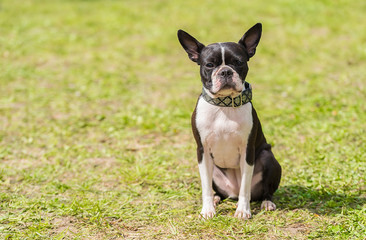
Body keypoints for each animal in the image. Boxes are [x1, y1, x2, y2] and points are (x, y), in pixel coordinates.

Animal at [177, 23, 280, 219]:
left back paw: (266, 202)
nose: (225, 71)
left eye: (239, 62)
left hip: (267, 157)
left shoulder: (247, 151)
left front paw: (243, 211)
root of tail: (232, 192)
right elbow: (205, 187)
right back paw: (217, 199)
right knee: (217, 190)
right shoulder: (202, 151)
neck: (223, 106)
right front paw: (207, 210)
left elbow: (245, 188)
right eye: (209, 65)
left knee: (262, 191)